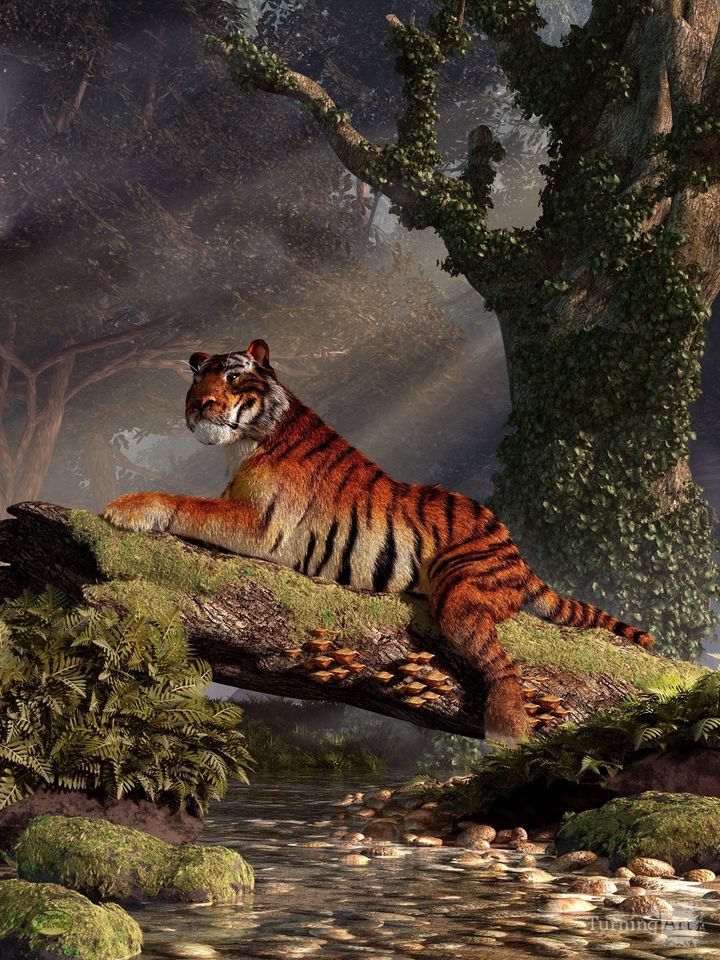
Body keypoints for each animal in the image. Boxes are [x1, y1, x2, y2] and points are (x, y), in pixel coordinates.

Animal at [104, 338, 653, 744]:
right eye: (197, 380)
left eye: (233, 377)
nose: (198, 407)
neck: (245, 443)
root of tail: (514, 548)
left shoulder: (263, 524)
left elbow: (185, 502)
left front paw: (126, 508)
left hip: (462, 593)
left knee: (500, 662)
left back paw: (507, 725)